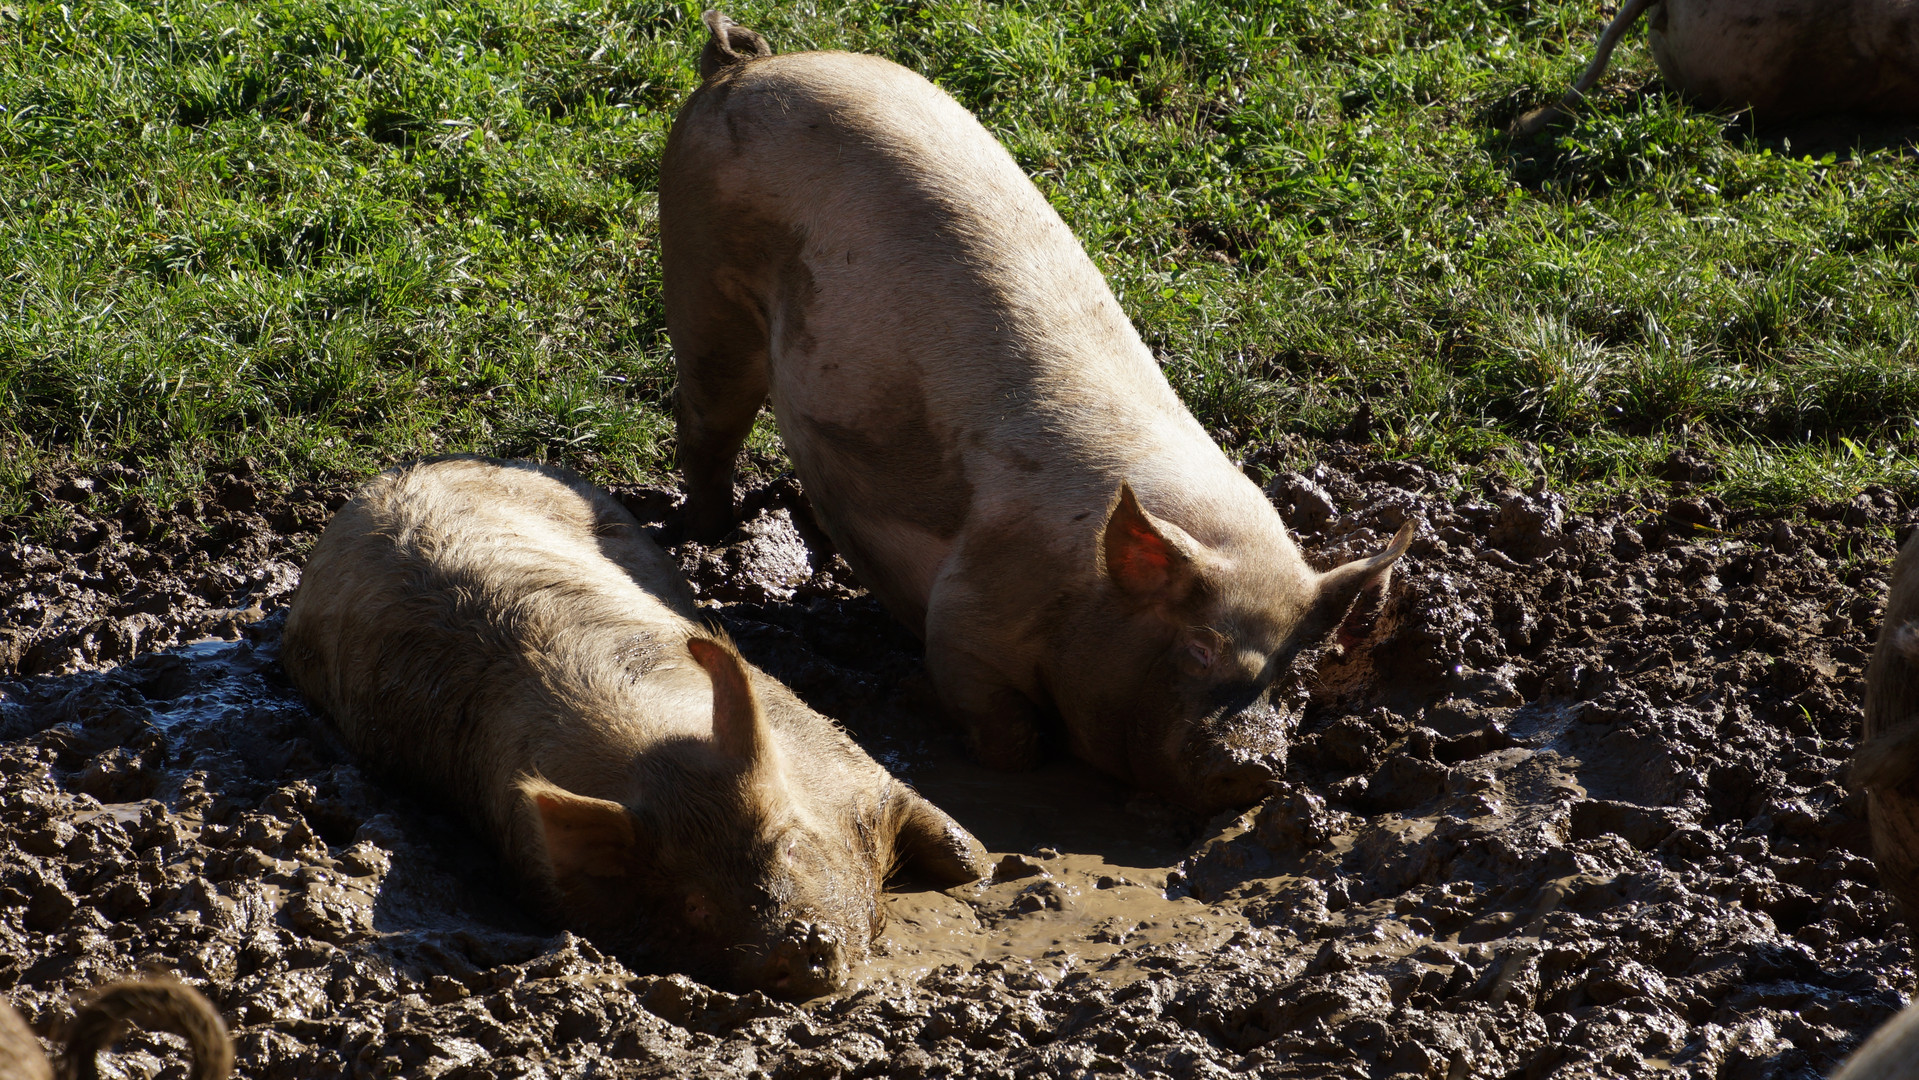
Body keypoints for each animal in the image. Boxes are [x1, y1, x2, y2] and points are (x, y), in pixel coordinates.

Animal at [284, 456, 990, 997]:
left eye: (786, 843)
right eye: (693, 901)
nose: (793, 950)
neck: (652, 758)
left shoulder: (850, 760)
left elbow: (958, 848)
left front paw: (985, 875)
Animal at [660, 14, 1412, 813]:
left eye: (1282, 672)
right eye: (1198, 646)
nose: (1253, 766)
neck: (1087, 587)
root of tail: (740, 65)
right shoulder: (962, 619)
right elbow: (1008, 737)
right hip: (701, 280)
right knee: (705, 424)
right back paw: (704, 535)